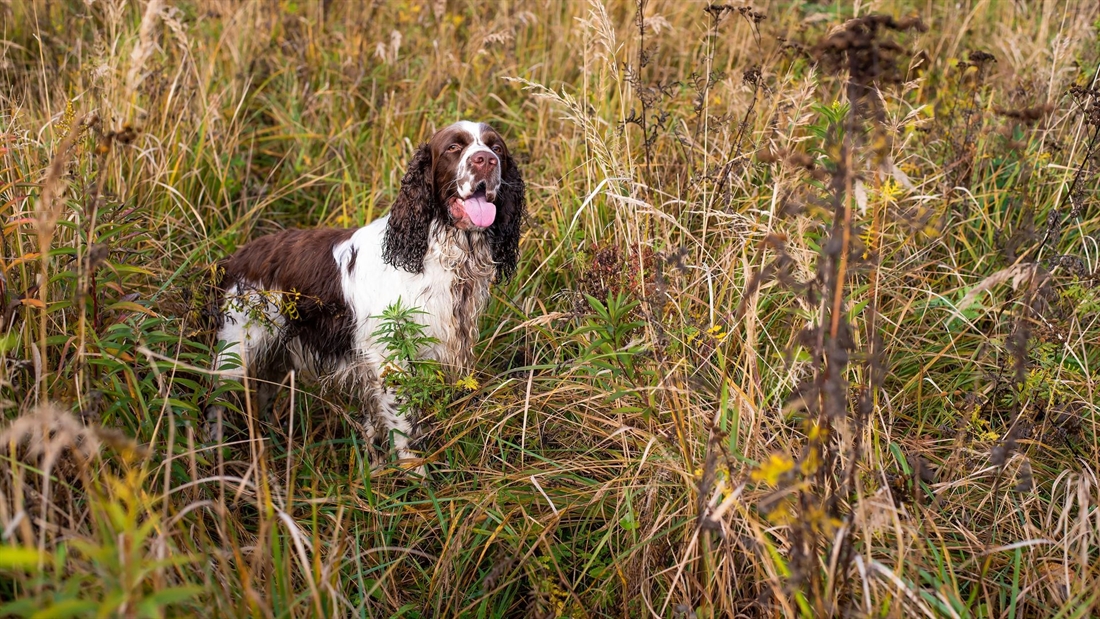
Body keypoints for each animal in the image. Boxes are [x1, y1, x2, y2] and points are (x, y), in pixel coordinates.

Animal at [211, 122, 528, 470]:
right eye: (453, 148)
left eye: (496, 148)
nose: (486, 161)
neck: (437, 250)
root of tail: (237, 257)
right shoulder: (387, 354)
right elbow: (402, 422)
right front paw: (413, 471)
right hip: (237, 348)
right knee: (215, 401)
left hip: (276, 355)